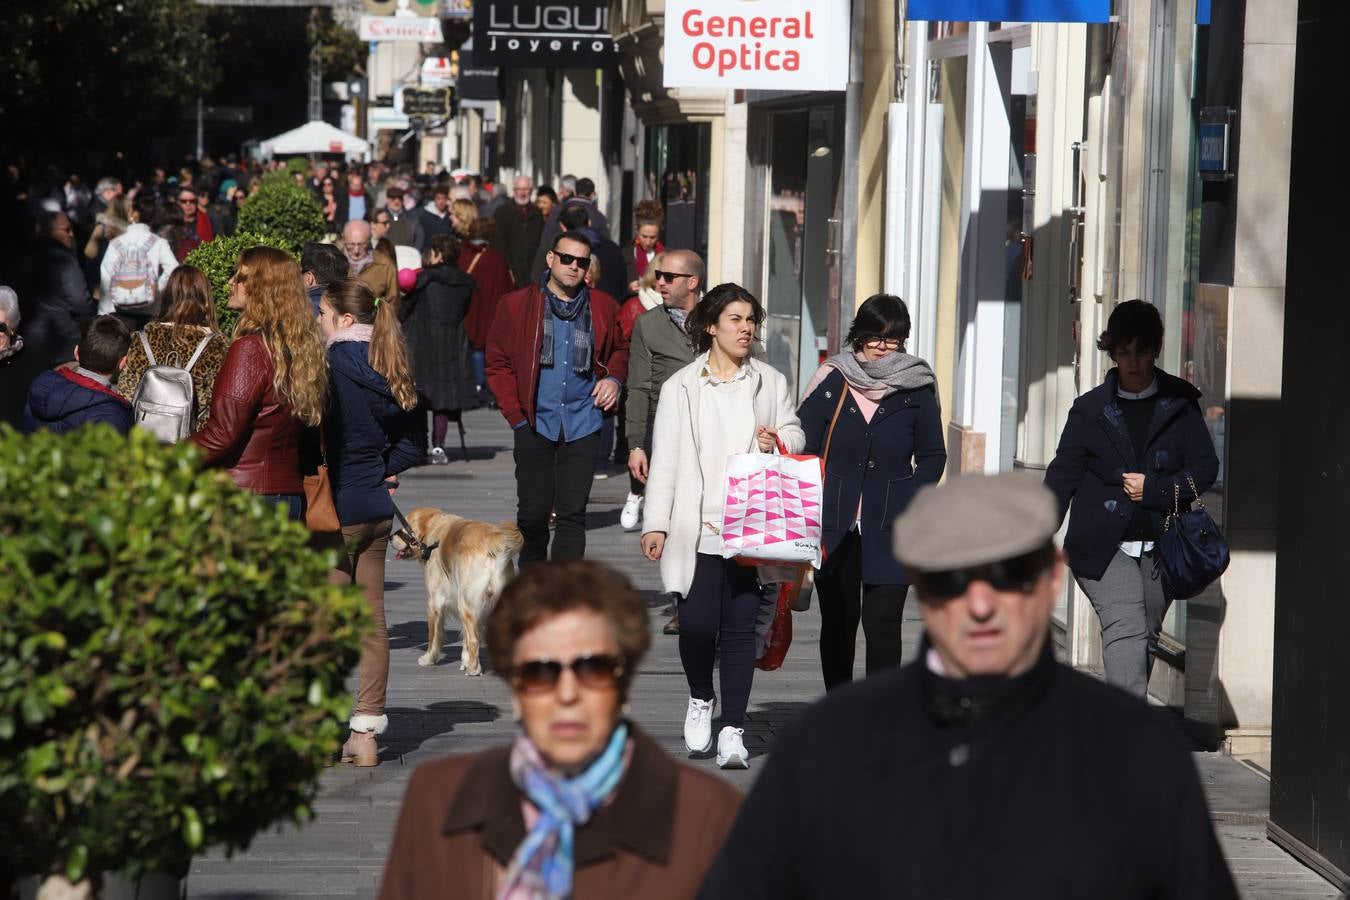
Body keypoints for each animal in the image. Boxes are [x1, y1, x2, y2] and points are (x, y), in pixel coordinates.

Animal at [391, 507, 521, 674]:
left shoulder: (435, 602)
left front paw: (428, 659)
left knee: (474, 640)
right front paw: (465, 660)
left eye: (405, 526)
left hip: (466, 604)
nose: (390, 537)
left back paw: (473, 670)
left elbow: (434, 636)